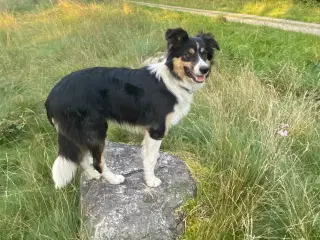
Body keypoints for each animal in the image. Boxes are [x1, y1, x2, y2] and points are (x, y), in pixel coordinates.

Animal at [45, 28, 219, 188]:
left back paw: (93, 175)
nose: (204, 69)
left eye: (204, 54)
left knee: (81, 157)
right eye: (188, 54)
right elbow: (151, 158)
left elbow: (147, 156)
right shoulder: (156, 129)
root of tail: (51, 96)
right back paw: (113, 179)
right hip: (95, 129)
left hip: (79, 133)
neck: (173, 78)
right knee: (97, 161)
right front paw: (151, 181)